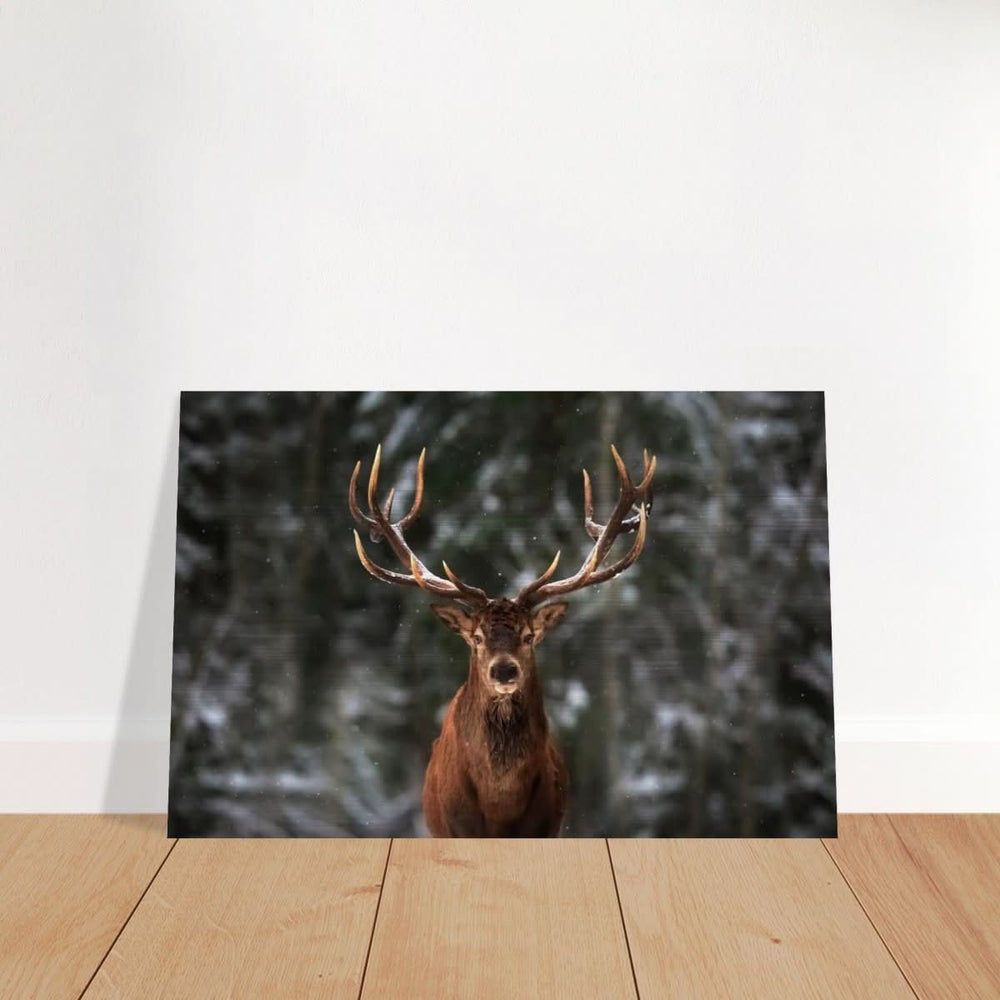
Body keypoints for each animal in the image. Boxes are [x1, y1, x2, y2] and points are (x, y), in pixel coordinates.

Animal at [348, 443, 655, 837]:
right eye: (476, 637)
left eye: (529, 636)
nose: (505, 671)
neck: (500, 808)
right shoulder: (456, 828)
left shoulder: (545, 827)